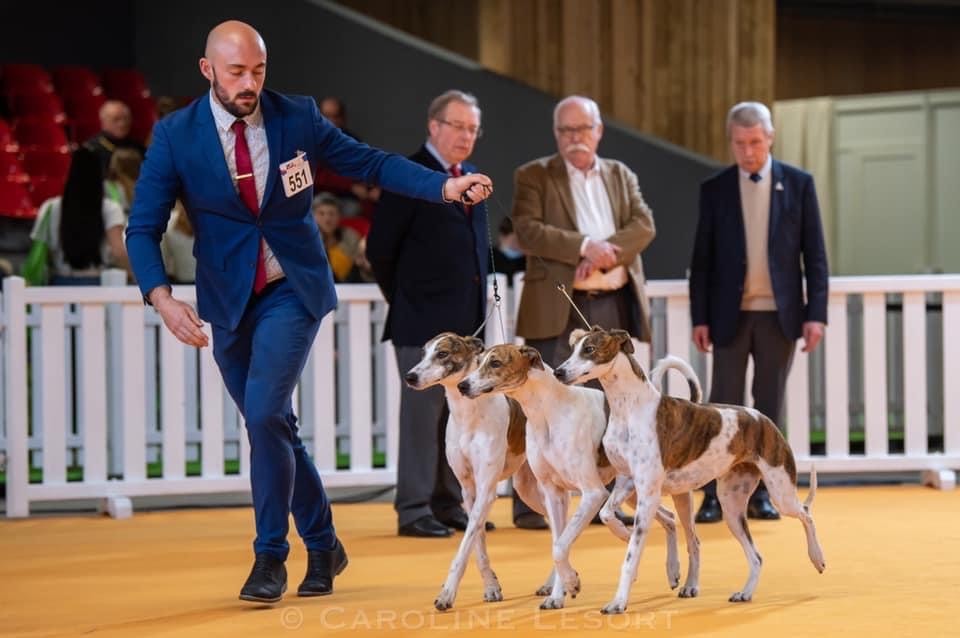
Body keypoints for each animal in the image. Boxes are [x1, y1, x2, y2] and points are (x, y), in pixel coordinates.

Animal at [404, 332, 540, 612]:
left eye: (443, 353)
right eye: (423, 353)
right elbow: (476, 541)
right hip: (529, 487)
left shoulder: (487, 489)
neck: (469, 416)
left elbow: (464, 546)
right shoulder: (469, 490)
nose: (410, 377)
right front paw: (491, 586)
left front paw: (447, 593)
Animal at [460, 342, 680, 612]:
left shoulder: (593, 493)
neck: (548, 411)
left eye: (496, 363)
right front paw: (558, 594)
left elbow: (559, 547)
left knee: (667, 518)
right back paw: (672, 570)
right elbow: (558, 545)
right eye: (479, 360)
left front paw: (572, 583)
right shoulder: (553, 493)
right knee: (669, 517)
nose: (462, 385)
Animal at [556, 330, 824, 616]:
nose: (559, 372)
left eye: (590, 349)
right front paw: (621, 533)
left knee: (806, 514)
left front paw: (618, 602)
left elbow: (631, 557)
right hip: (730, 507)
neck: (629, 408)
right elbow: (607, 514)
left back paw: (817, 557)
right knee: (755, 556)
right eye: (573, 348)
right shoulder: (627, 482)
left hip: (780, 492)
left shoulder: (647, 493)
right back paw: (744, 592)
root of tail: (764, 419)